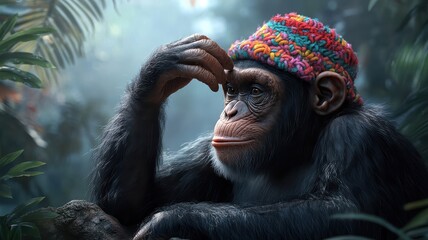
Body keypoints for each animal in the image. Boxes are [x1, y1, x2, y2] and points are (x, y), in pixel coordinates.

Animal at [92, 13, 428, 240]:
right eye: (231, 90)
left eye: (256, 91)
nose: (230, 112)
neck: (296, 149)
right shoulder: (206, 153)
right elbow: (128, 202)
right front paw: (165, 65)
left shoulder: (361, 135)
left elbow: (345, 213)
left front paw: (170, 220)